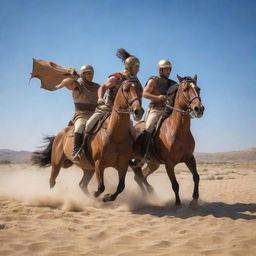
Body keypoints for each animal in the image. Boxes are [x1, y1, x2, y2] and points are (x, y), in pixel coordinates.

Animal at [130, 75, 204, 207]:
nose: (199, 108)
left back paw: (147, 194)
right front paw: (178, 204)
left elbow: (196, 176)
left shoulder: (189, 158)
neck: (179, 131)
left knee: (139, 175)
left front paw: (194, 200)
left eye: (198, 89)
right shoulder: (169, 164)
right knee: (139, 175)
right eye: (185, 89)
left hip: (152, 163)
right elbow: (175, 185)